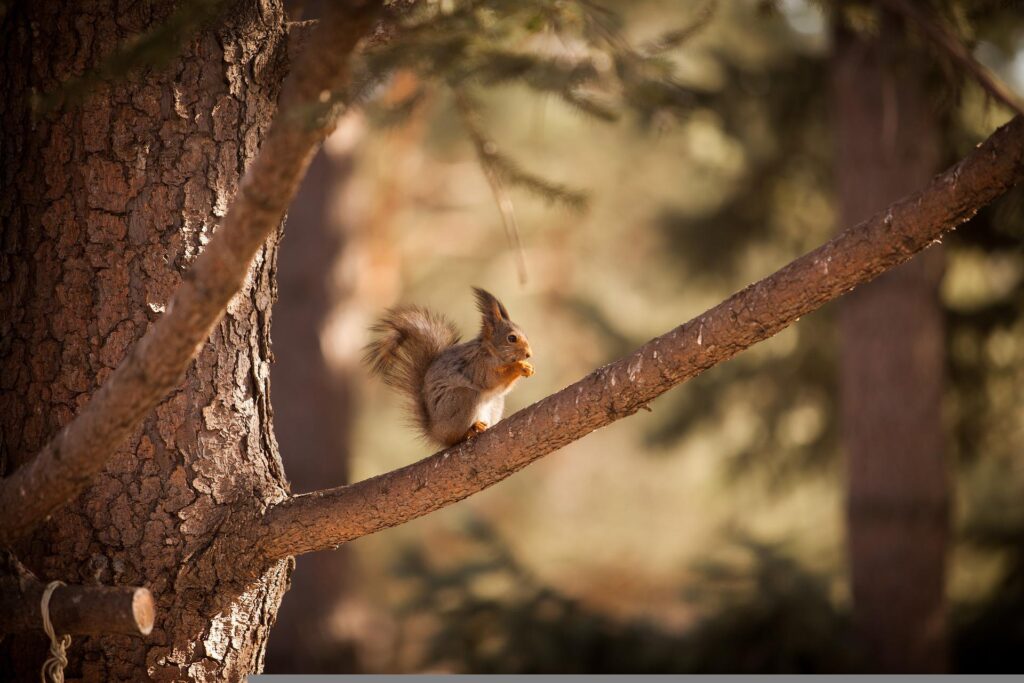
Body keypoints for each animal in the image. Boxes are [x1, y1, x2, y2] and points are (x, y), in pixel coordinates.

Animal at [364, 286, 536, 446]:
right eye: (511, 338)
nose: (529, 354)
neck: (491, 351)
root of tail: (436, 431)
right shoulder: (478, 365)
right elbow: (491, 380)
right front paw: (520, 367)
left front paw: (527, 367)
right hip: (461, 399)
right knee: (454, 437)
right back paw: (470, 430)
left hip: (495, 403)